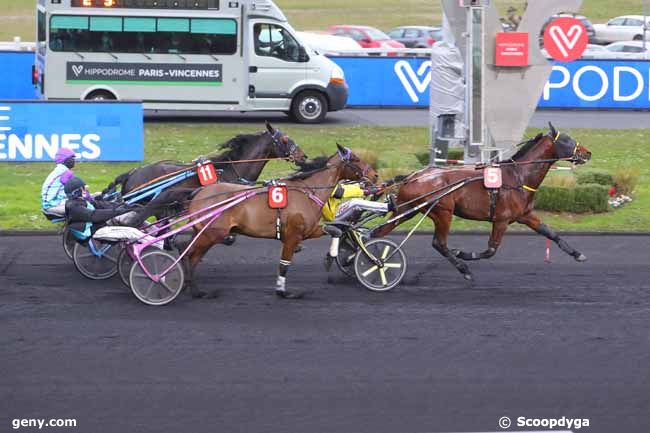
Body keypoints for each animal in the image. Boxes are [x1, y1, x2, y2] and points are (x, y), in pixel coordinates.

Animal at [184, 143, 374, 298]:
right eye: (356, 159)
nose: (375, 174)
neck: (308, 191)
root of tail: (199, 193)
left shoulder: (308, 231)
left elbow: (336, 230)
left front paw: (331, 257)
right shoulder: (293, 235)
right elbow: (284, 264)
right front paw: (282, 291)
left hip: (203, 232)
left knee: (188, 253)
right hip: (212, 234)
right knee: (190, 256)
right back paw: (195, 290)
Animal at [372, 123, 588, 282]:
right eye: (567, 140)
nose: (587, 153)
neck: (518, 176)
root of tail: (413, 176)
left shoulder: (525, 216)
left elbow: (550, 233)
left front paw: (578, 254)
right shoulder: (501, 219)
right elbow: (491, 250)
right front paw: (462, 254)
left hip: (407, 209)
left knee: (378, 232)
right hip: (443, 211)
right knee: (439, 243)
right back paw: (463, 269)